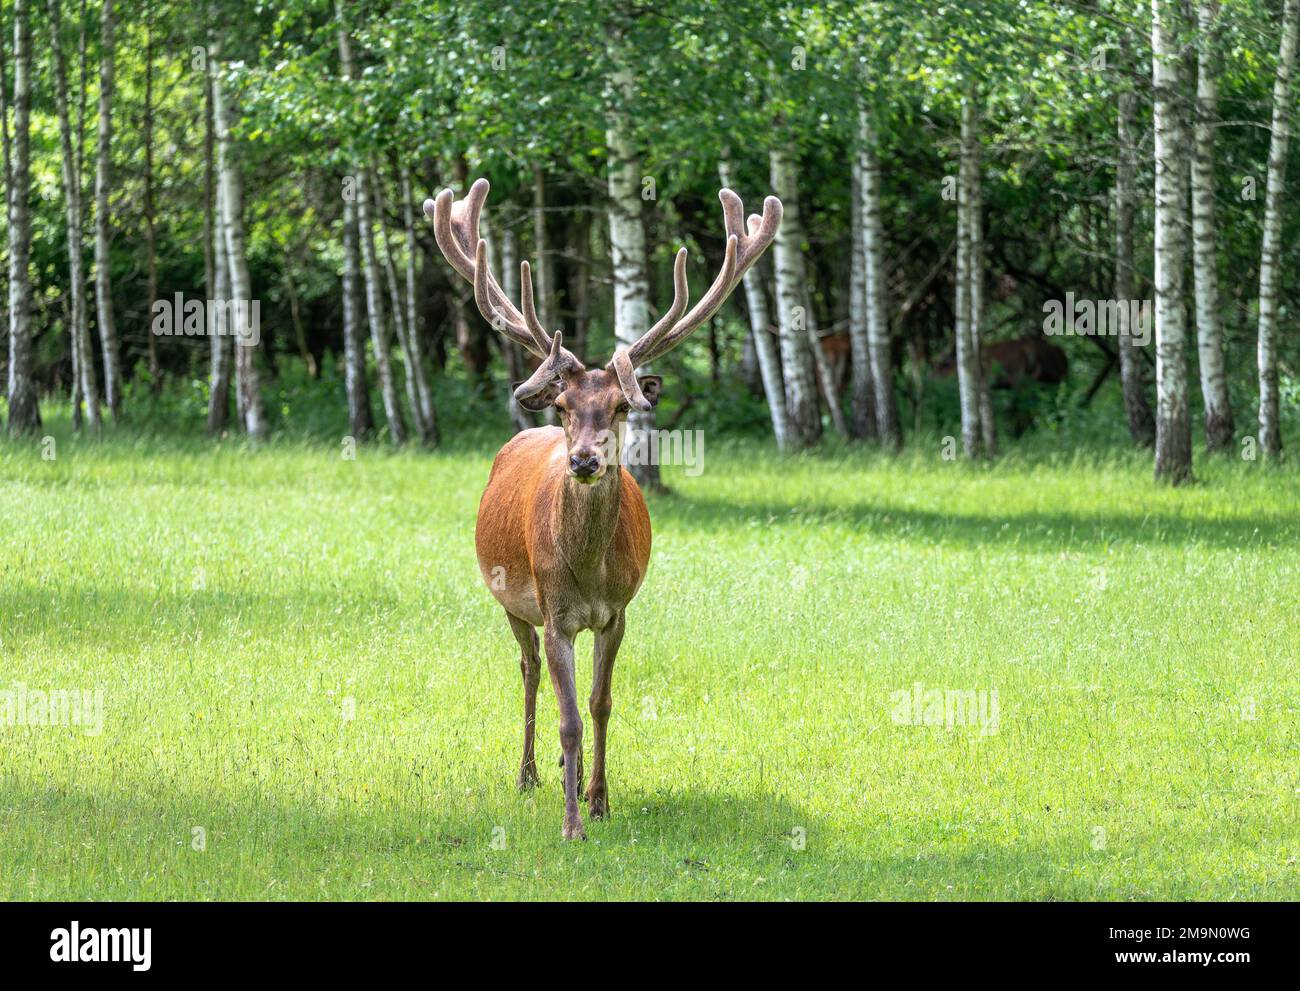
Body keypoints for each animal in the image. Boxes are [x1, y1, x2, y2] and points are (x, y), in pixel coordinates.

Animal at [426, 175, 774, 832]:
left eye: (619, 406)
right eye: (563, 405)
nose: (584, 461)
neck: (587, 571)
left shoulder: (618, 613)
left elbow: (600, 702)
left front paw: (600, 799)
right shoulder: (556, 612)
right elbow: (568, 718)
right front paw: (571, 824)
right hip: (512, 599)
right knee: (529, 671)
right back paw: (529, 773)